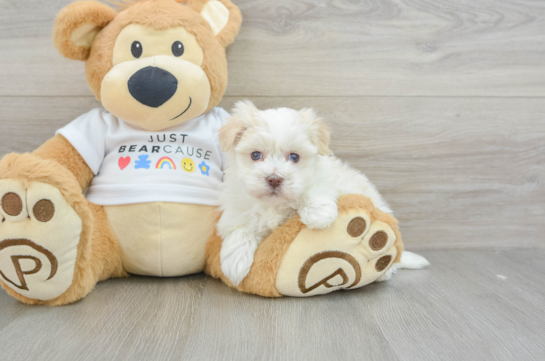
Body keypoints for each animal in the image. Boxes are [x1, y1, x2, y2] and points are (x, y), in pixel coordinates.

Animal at [218, 100, 430, 284]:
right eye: (255, 155)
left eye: (294, 157)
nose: (274, 179)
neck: (275, 205)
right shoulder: (238, 206)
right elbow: (240, 228)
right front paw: (235, 264)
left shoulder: (327, 178)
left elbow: (313, 187)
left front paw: (318, 215)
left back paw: (384, 271)